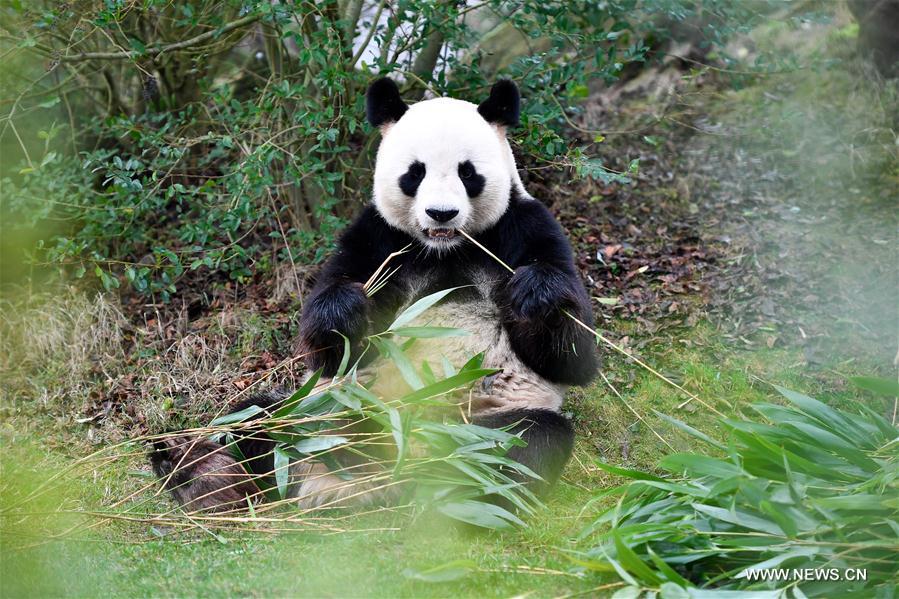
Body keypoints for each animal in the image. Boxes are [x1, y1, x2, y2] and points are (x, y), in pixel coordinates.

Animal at [152, 77, 600, 512]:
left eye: (468, 173)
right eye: (415, 173)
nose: (441, 214)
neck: (445, 249)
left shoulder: (524, 228)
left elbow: (572, 358)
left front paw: (535, 293)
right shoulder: (375, 239)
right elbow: (331, 346)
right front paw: (346, 310)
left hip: (482, 419)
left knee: (523, 444)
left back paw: (453, 502)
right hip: (331, 405)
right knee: (260, 420)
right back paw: (203, 474)